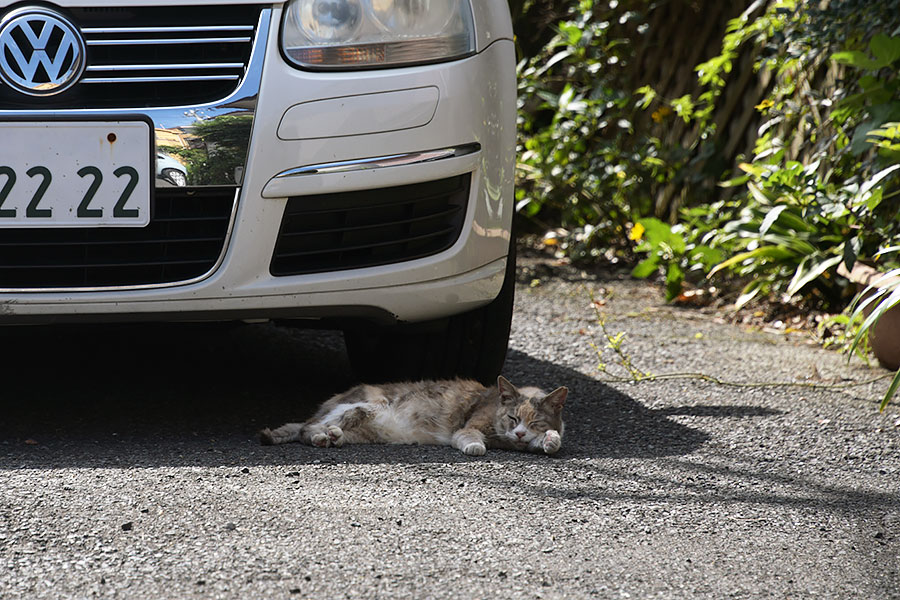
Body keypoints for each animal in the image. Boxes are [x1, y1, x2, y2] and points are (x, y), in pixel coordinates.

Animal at [260, 378, 568, 458]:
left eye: (535, 422)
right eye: (512, 418)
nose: (519, 432)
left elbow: (548, 440)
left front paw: (550, 440)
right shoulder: (470, 426)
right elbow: (470, 435)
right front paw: (475, 446)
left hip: (367, 428)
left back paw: (333, 438)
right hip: (364, 406)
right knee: (307, 428)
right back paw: (322, 436)